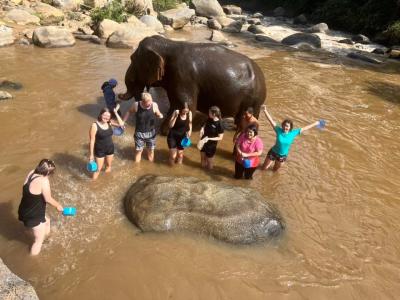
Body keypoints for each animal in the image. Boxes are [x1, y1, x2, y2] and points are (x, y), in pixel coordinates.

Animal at [120, 35, 268, 132]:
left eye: (132, 59)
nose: (119, 95)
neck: (168, 44)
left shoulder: (183, 76)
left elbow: (185, 106)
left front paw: (164, 131)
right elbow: (176, 105)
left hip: (253, 100)